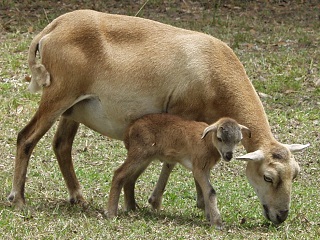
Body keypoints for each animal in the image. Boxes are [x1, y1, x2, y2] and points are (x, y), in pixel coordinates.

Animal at [107, 113, 250, 228]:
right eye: (220, 138)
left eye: (238, 141)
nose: (228, 155)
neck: (207, 143)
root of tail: (130, 129)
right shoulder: (198, 168)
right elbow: (210, 191)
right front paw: (217, 223)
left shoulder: (205, 168)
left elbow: (205, 192)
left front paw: (210, 216)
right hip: (139, 153)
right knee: (119, 174)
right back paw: (112, 213)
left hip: (145, 158)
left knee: (129, 179)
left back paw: (131, 209)